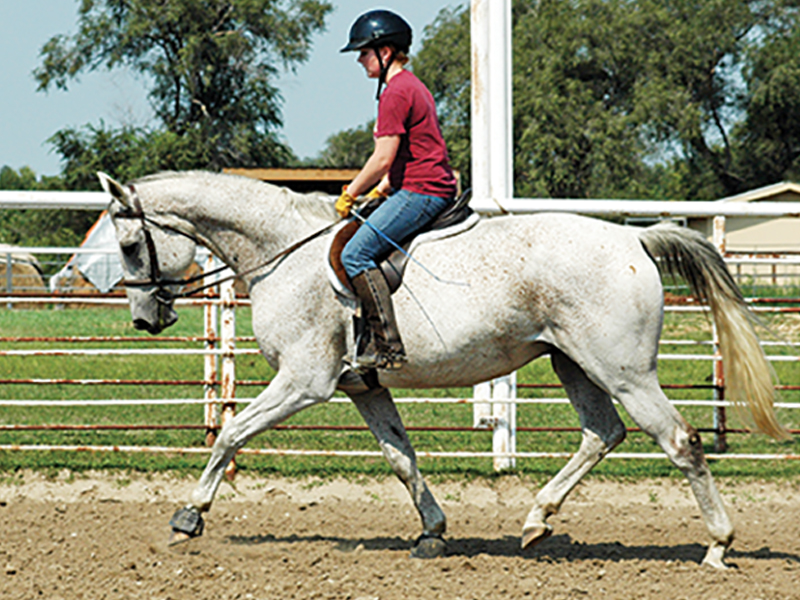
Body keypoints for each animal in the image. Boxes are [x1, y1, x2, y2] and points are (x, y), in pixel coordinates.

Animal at [97, 170, 787, 569]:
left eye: (130, 246)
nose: (144, 319)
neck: (281, 252)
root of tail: (631, 239)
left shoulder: (303, 382)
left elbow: (234, 433)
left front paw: (188, 518)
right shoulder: (362, 387)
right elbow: (402, 459)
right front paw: (433, 532)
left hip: (625, 371)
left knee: (680, 440)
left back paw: (718, 545)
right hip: (574, 364)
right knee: (602, 433)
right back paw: (536, 522)